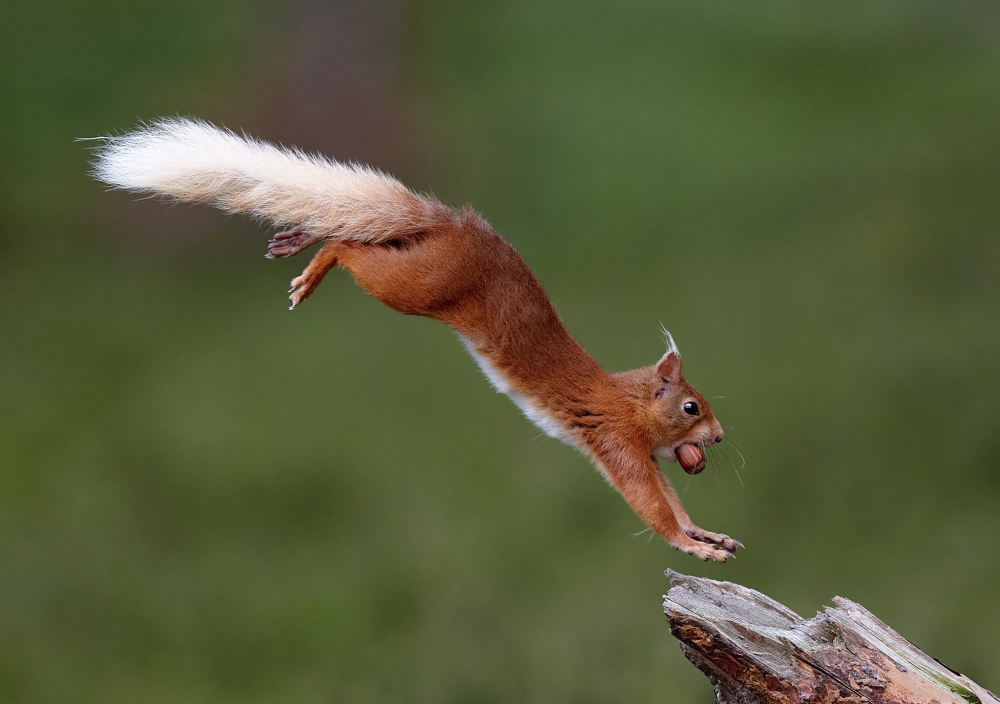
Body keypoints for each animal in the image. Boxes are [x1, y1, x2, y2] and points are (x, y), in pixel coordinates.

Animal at [92, 119, 744, 560]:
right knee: (351, 247)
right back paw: (314, 265)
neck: (628, 400)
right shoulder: (613, 441)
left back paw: (298, 241)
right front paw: (695, 546)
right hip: (417, 285)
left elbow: (672, 500)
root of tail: (450, 223)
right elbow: (650, 505)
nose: (718, 438)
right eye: (692, 406)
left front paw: (706, 531)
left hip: (412, 264)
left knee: (356, 233)